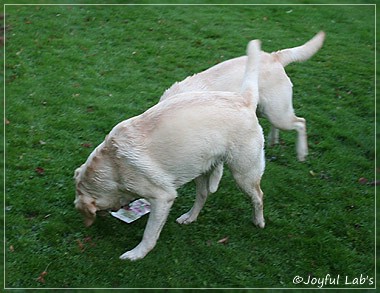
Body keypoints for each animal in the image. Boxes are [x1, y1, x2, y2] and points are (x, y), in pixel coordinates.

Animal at [74, 38, 264, 260]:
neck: (113, 166)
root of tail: (244, 100)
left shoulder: (162, 198)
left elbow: (149, 234)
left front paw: (136, 254)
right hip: (199, 167)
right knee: (203, 195)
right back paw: (189, 217)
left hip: (244, 174)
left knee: (258, 196)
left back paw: (259, 221)